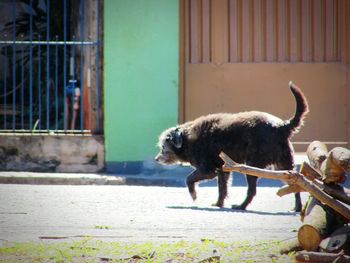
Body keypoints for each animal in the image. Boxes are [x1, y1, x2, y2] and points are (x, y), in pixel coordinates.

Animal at [154, 82, 308, 212]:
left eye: (163, 147)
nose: (156, 159)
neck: (186, 138)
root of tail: (282, 126)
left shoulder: (207, 170)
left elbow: (189, 178)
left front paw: (193, 194)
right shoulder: (222, 170)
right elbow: (222, 188)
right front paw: (219, 204)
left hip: (252, 167)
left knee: (252, 191)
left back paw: (241, 206)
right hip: (284, 167)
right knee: (296, 184)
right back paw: (297, 208)